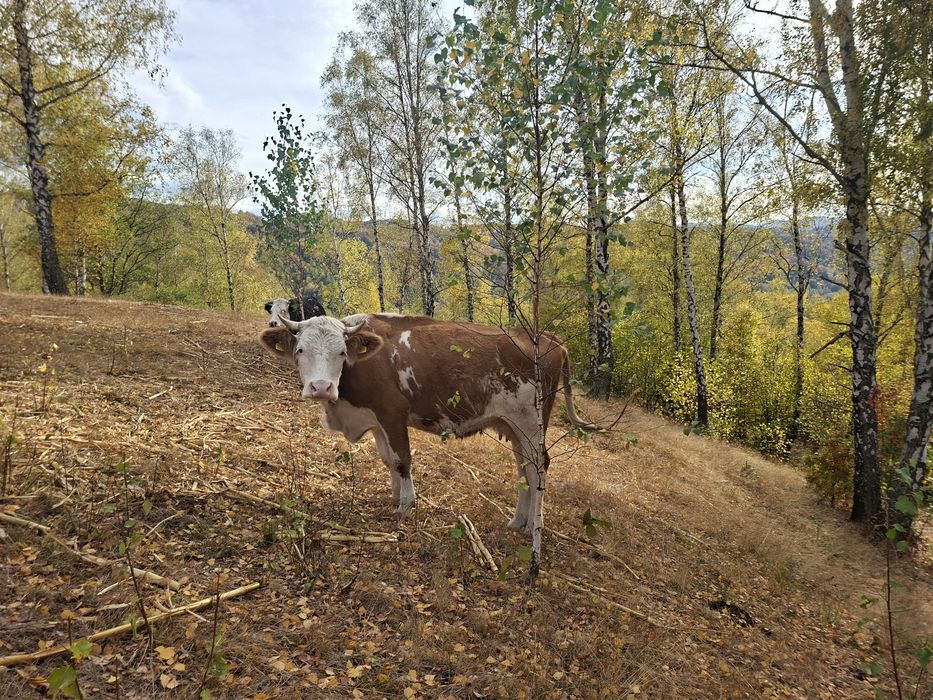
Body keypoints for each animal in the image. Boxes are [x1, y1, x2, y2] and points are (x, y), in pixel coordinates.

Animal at [259, 313, 596, 541]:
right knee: (524, 469)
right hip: (513, 427)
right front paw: (395, 497)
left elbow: (402, 461)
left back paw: (535, 526)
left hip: (531, 424)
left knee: (538, 467)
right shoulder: (376, 420)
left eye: (341, 352)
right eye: (300, 350)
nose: (321, 387)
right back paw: (518, 522)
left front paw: (406, 507)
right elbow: (388, 461)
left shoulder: (392, 412)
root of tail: (548, 337)